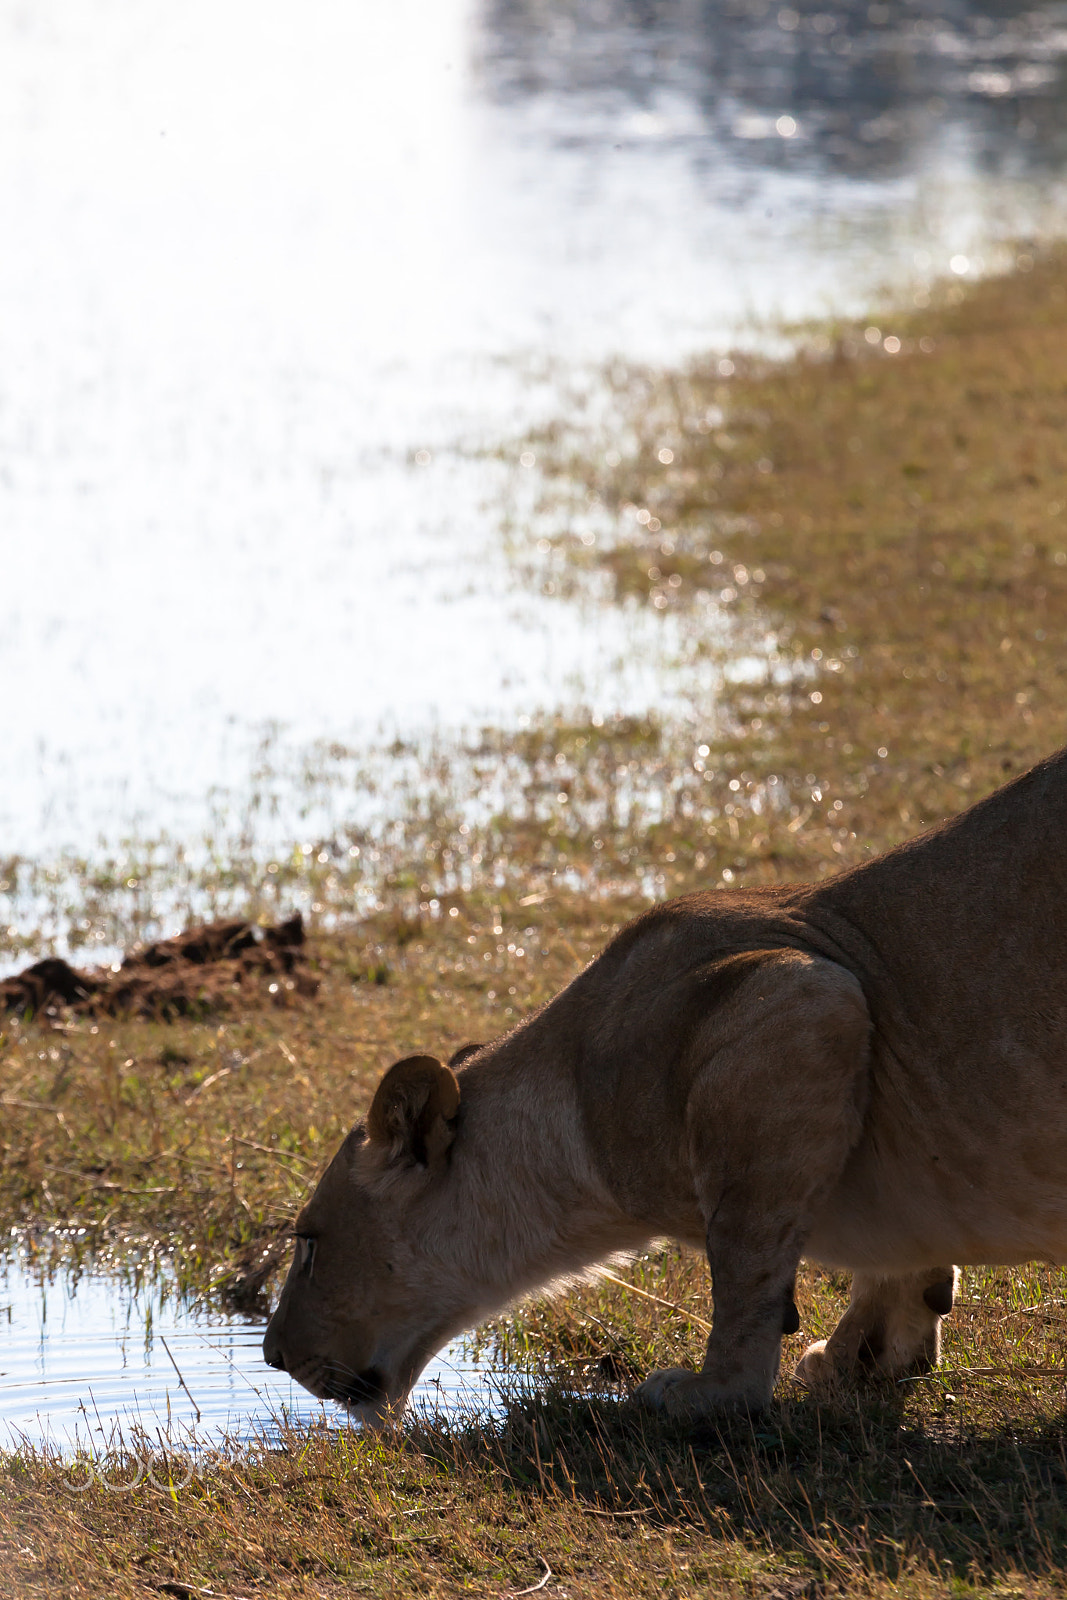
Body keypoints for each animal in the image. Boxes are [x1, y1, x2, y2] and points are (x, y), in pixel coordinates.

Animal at [264, 746, 1067, 1425]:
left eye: (309, 1244)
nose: (271, 1355)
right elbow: (893, 1263)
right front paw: (864, 1354)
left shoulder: (801, 1000)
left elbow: (742, 1258)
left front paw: (713, 1392)